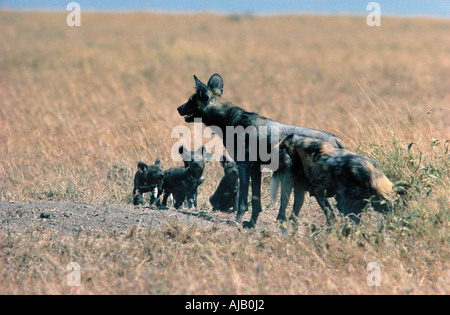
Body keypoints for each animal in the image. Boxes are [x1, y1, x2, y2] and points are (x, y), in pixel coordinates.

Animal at [177, 74, 344, 230]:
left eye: (190, 100)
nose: (178, 108)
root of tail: (335, 139)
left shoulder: (243, 167)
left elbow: (243, 202)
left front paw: (237, 221)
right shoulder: (255, 169)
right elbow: (256, 202)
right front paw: (251, 223)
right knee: (331, 215)